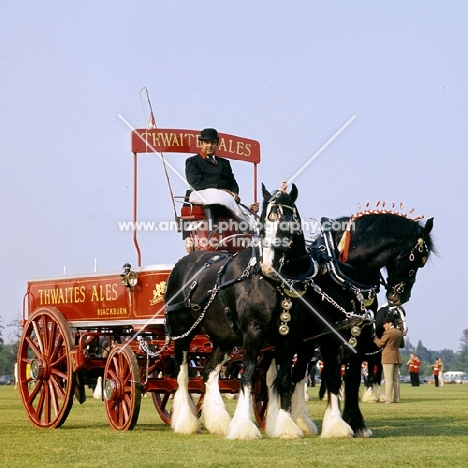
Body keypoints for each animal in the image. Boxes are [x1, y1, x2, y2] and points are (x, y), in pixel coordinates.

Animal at [165, 184, 310, 438]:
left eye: (287, 223)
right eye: (262, 225)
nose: (268, 266)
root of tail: (182, 263)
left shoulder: (288, 338)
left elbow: (284, 380)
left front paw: (285, 427)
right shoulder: (253, 334)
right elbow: (248, 377)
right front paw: (244, 427)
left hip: (223, 339)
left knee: (209, 372)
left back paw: (219, 421)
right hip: (182, 334)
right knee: (182, 375)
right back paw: (185, 422)